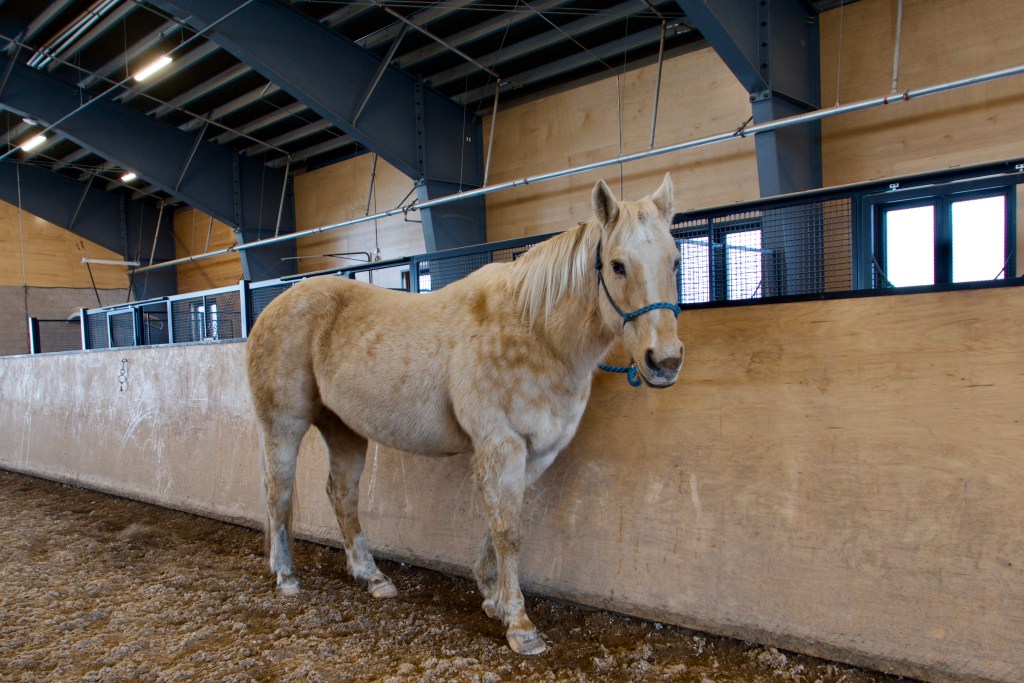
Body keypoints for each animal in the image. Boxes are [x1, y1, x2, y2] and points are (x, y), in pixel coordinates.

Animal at [246, 174, 684, 655]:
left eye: (675, 261)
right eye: (618, 265)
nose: (664, 361)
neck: (534, 330)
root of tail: (277, 304)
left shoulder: (535, 454)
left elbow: (500, 526)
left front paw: (493, 597)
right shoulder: (501, 442)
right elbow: (509, 531)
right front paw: (520, 625)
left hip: (344, 428)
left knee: (342, 495)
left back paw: (372, 577)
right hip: (283, 425)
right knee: (278, 492)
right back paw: (287, 576)